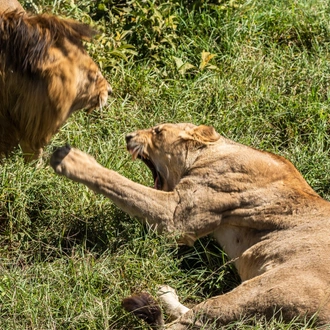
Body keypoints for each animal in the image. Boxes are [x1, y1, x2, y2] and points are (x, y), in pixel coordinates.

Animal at [50, 123, 330, 328]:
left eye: (158, 131)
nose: (128, 136)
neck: (213, 151)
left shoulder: (177, 216)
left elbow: (121, 184)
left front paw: (71, 159)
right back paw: (165, 294)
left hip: (266, 290)